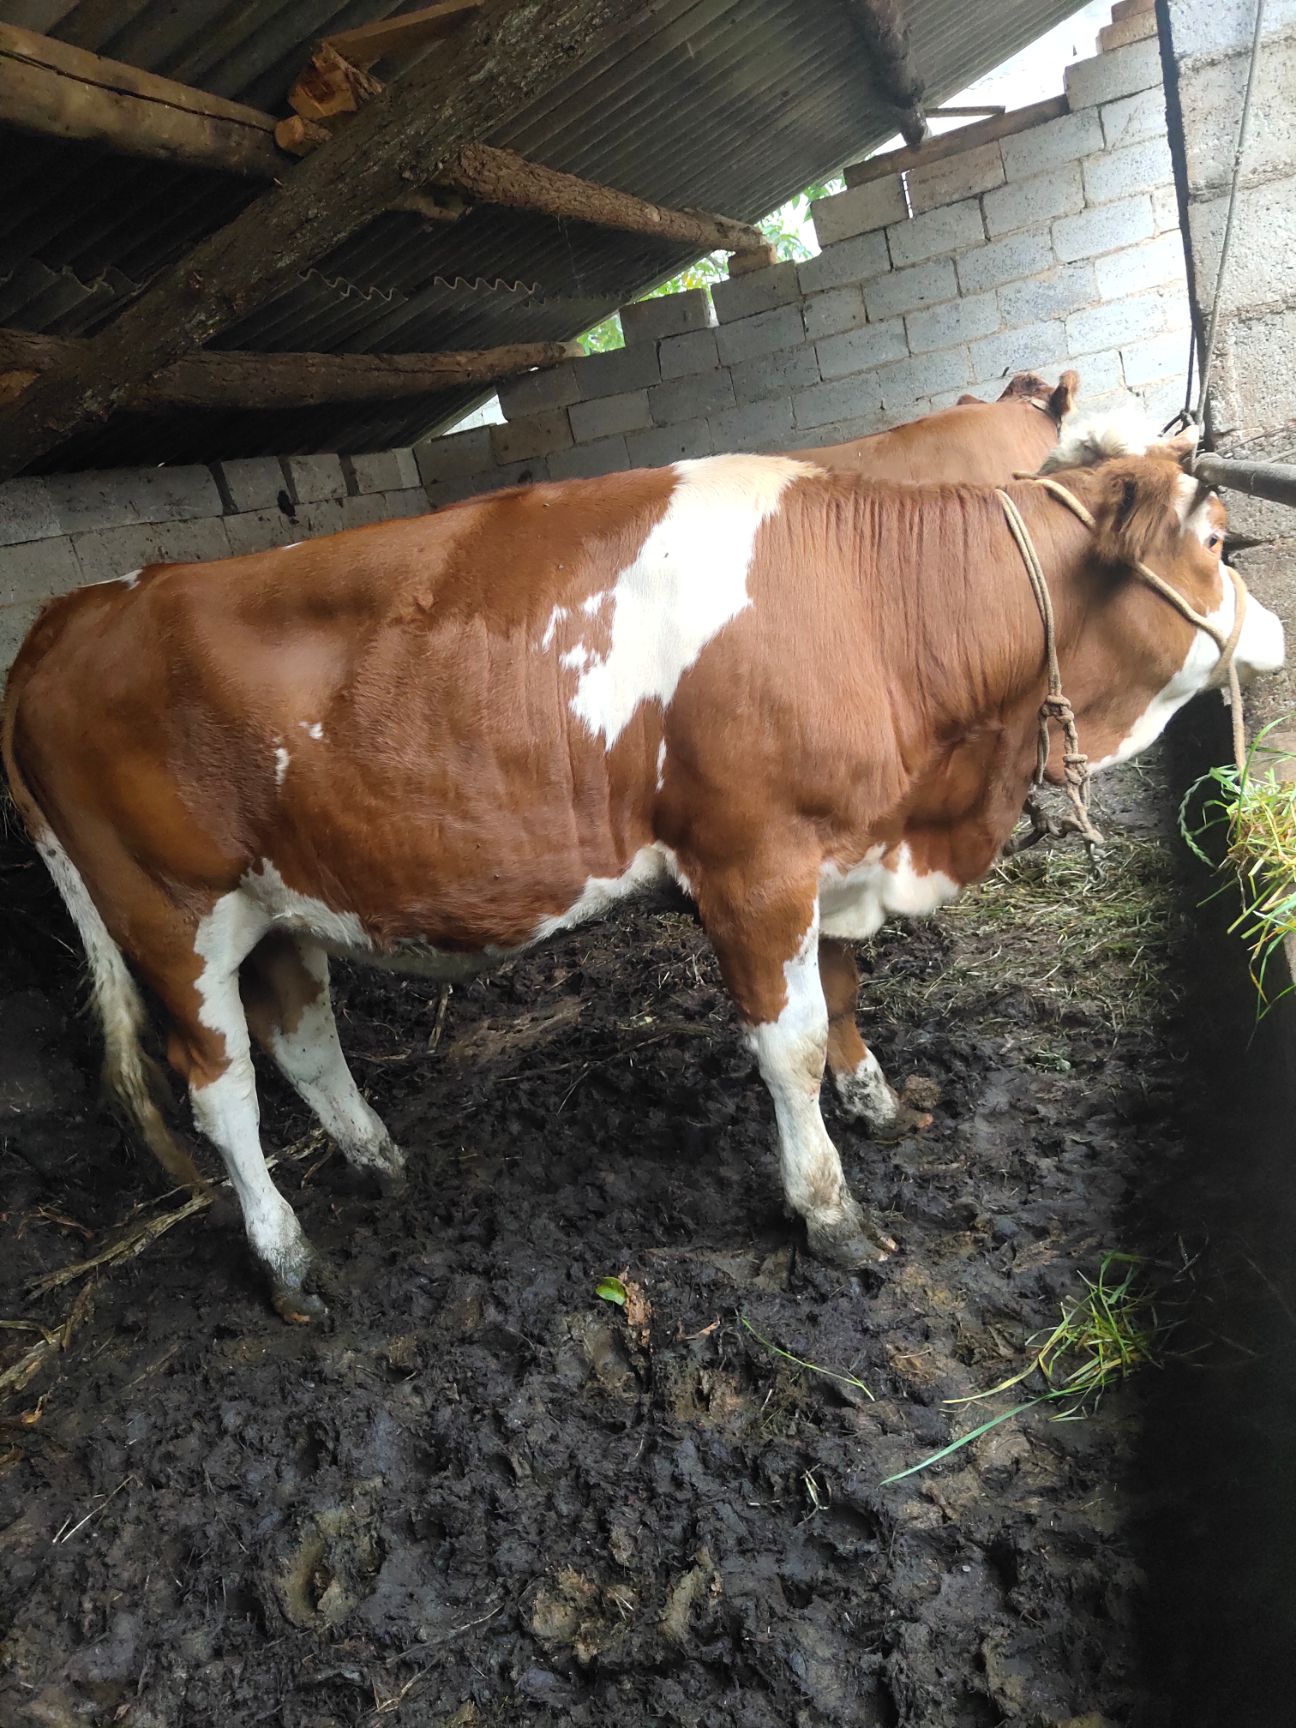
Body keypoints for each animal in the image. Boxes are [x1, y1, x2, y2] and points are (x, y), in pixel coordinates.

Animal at [5, 425, 1285, 1313]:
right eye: (1220, 544)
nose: (1274, 632)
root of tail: (75, 608)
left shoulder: (842, 851)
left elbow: (847, 988)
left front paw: (876, 1102)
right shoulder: (752, 865)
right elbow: (790, 1043)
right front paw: (827, 1211)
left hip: (279, 907)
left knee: (304, 1042)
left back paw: (380, 1162)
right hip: (169, 917)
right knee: (217, 1090)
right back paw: (286, 1257)